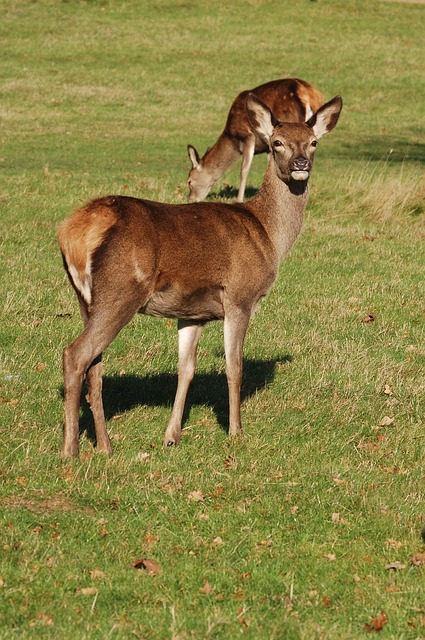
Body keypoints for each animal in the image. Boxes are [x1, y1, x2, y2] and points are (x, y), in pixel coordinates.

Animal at [57, 92, 342, 458]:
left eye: (313, 142)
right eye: (277, 142)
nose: (301, 164)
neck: (267, 234)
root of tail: (74, 232)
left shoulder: (192, 312)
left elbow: (186, 369)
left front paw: (171, 436)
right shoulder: (239, 296)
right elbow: (234, 366)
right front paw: (236, 432)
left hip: (85, 298)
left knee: (95, 365)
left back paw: (106, 447)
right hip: (121, 288)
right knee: (75, 355)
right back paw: (71, 451)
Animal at [187, 77, 322, 202]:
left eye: (189, 181)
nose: (190, 199)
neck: (232, 139)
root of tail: (306, 93)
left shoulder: (247, 136)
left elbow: (244, 170)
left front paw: (239, 199)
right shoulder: (269, 146)